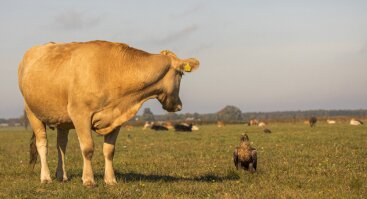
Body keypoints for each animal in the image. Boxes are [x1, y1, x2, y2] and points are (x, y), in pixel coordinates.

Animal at [16, 40, 200, 187]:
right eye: (181, 74)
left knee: (61, 145)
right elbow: (88, 148)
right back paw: (46, 177)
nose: (179, 106)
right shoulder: (80, 114)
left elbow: (109, 150)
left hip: (62, 119)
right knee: (42, 144)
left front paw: (111, 180)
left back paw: (62, 175)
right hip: (32, 112)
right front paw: (88, 180)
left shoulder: (116, 118)